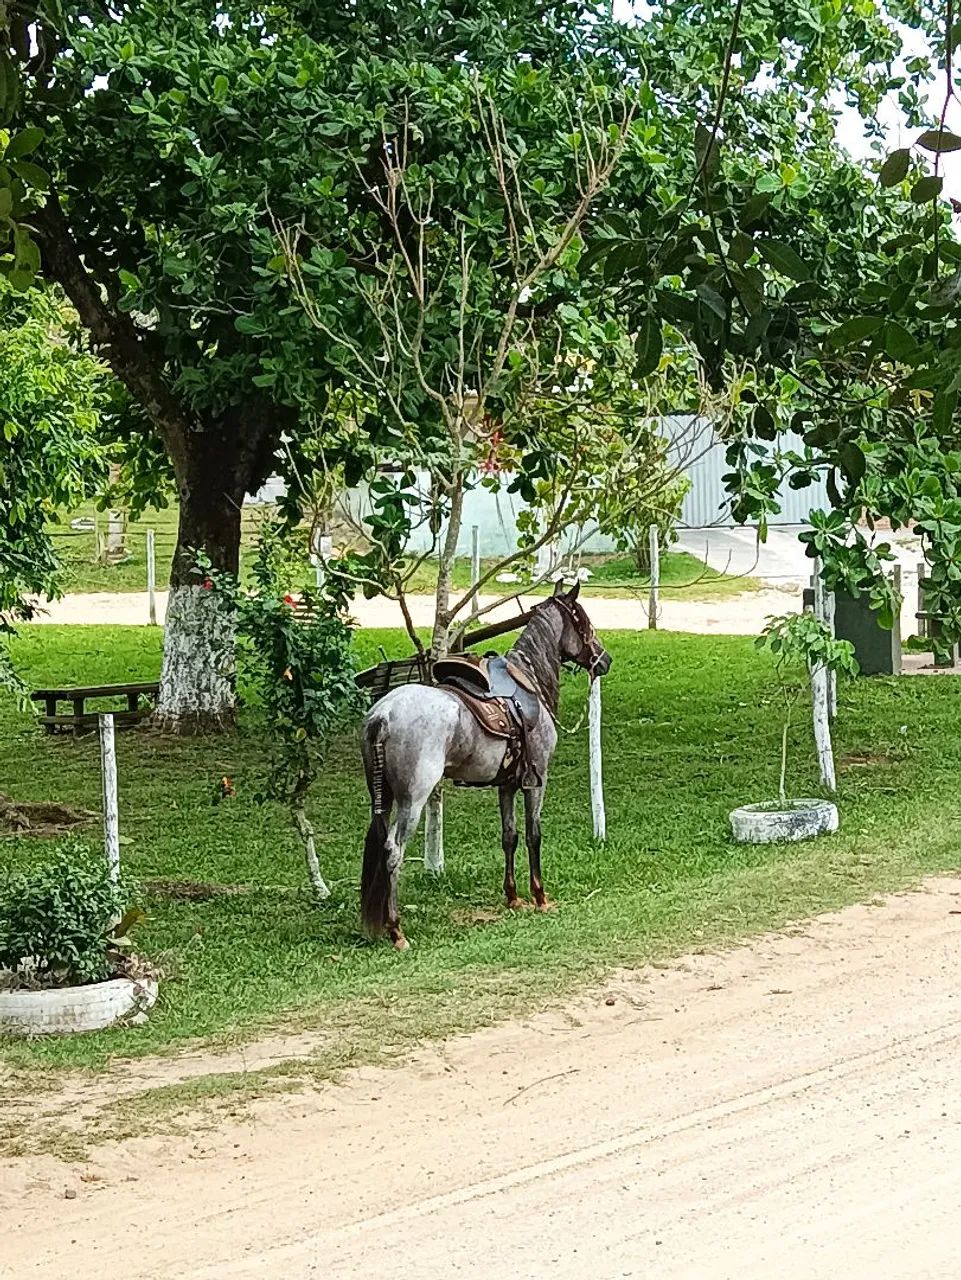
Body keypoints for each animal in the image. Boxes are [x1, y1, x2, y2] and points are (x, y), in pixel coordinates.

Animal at [360, 581, 612, 949]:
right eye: (583, 618)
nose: (604, 659)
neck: (529, 682)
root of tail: (383, 714)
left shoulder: (505, 784)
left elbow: (510, 836)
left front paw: (513, 897)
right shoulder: (537, 780)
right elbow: (534, 834)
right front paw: (540, 897)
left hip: (383, 797)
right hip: (412, 800)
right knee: (393, 851)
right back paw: (396, 930)